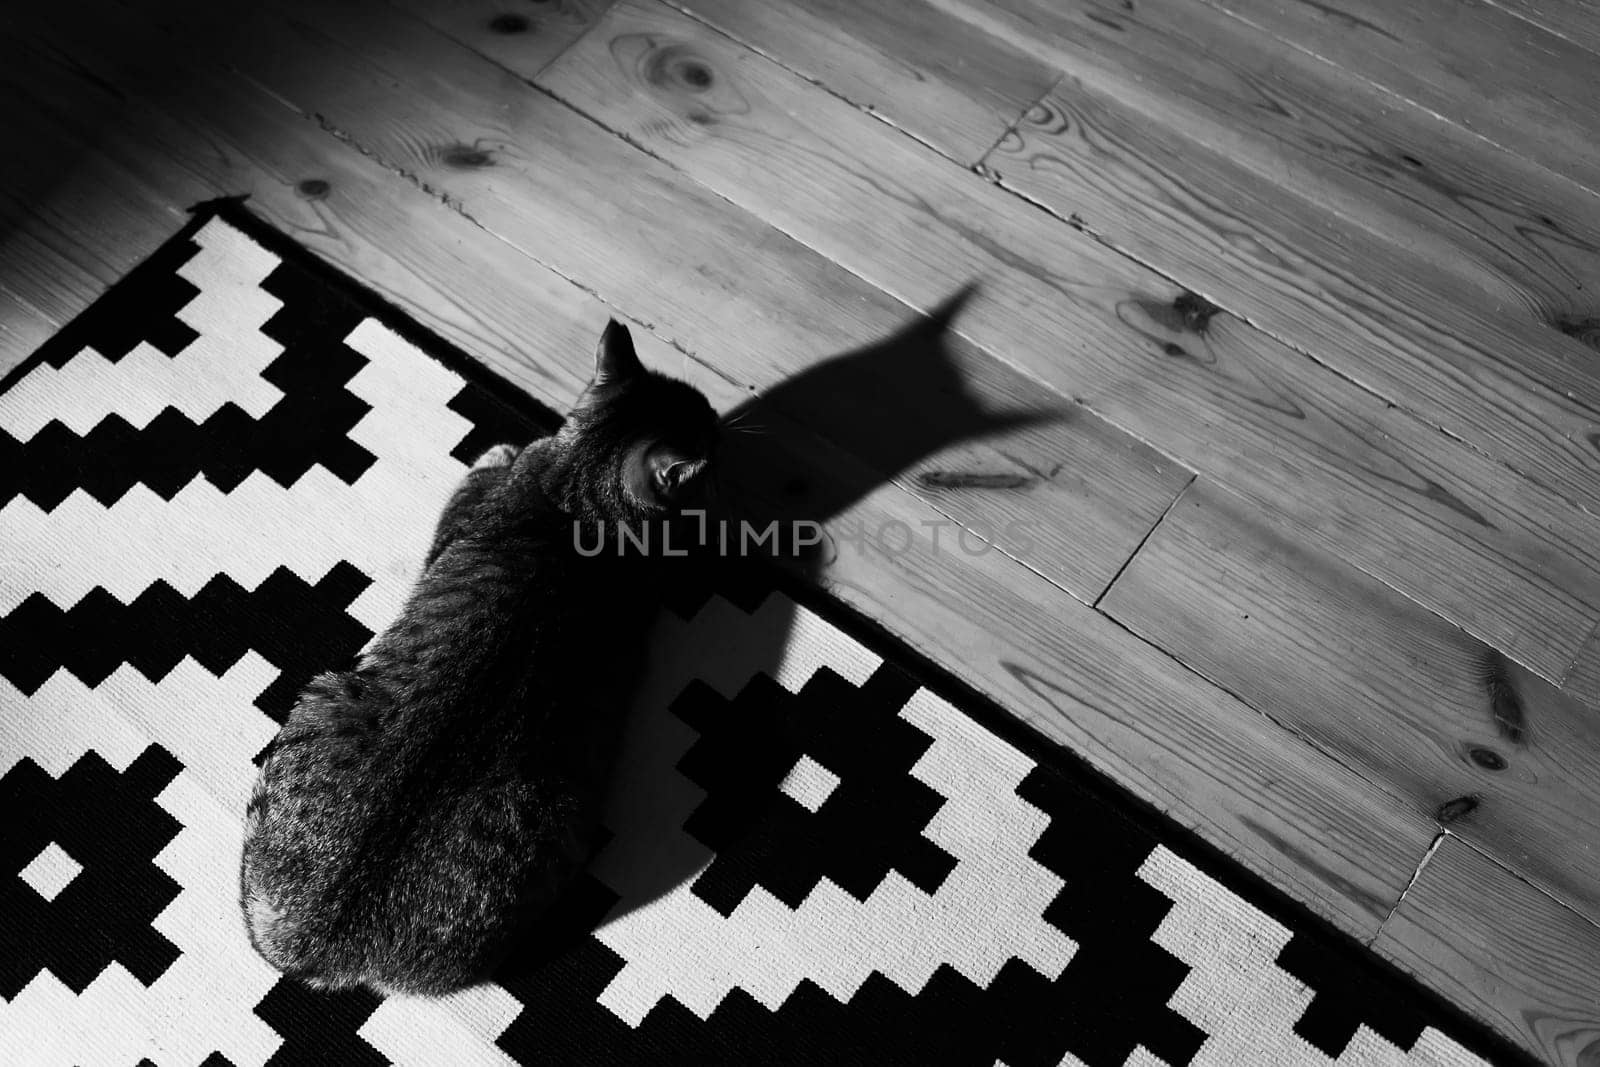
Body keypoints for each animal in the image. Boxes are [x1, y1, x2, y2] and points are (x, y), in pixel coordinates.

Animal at [236, 321, 720, 998]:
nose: (720, 421)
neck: (584, 503)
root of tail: (318, 946)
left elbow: (483, 468)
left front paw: (500, 448)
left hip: (330, 696)